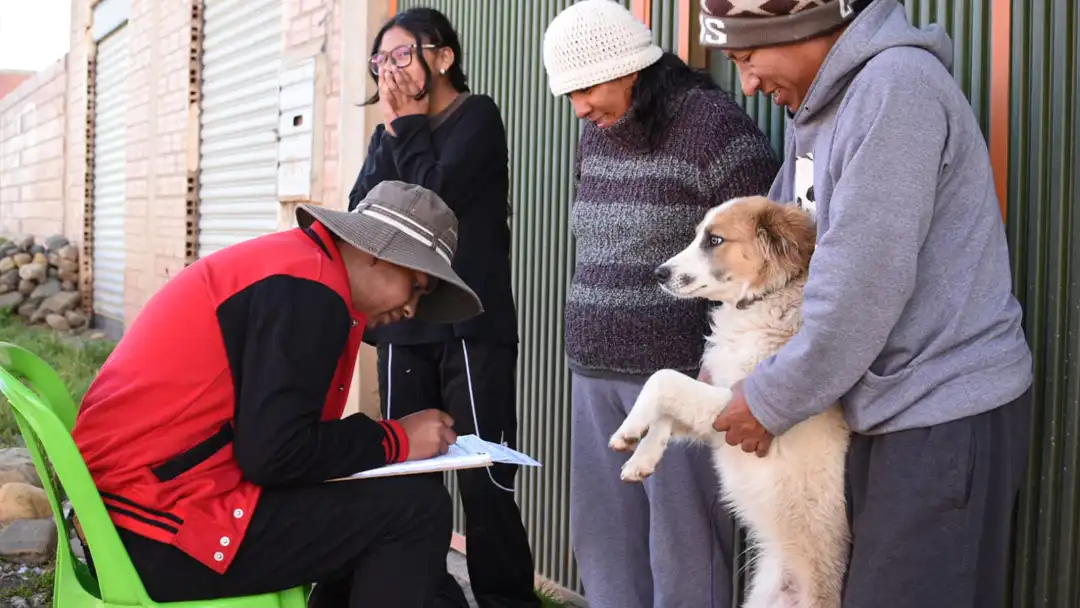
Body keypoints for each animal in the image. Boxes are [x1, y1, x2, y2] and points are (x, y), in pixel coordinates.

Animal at [609, 197, 851, 604]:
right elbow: (666, 411)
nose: (659, 273)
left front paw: (628, 430)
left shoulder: (736, 406)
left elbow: (663, 379)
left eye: (715, 240)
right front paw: (642, 458)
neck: (760, 302)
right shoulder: (714, 417)